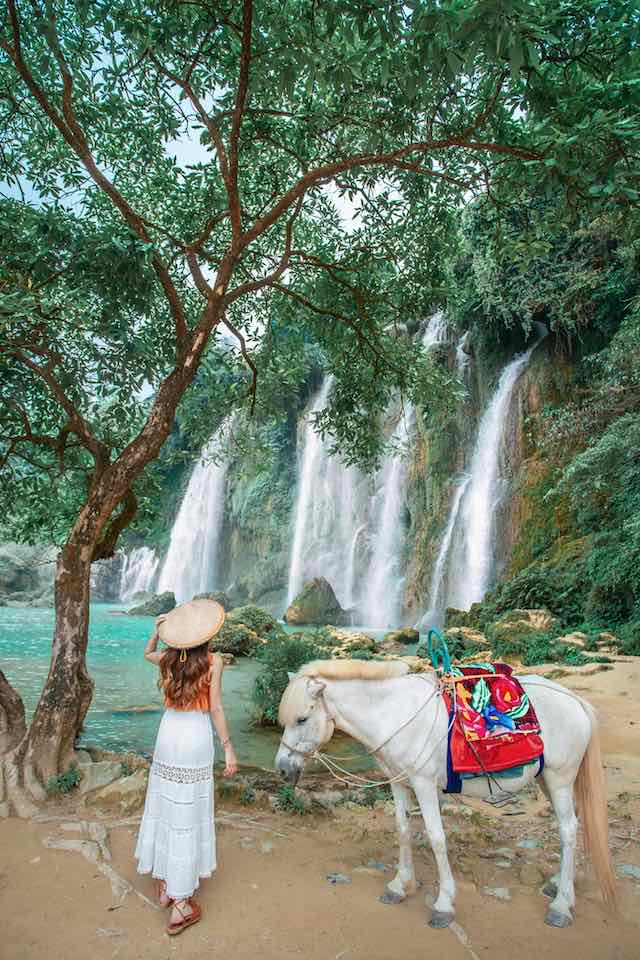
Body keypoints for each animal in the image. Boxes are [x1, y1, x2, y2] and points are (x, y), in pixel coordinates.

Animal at [276, 664, 616, 928]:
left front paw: (443, 904)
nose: (281, 769)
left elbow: (436, 837)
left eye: (302, 719)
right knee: (569, 827)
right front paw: (400, 886)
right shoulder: (399, 783)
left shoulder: (424, 784)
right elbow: (402, 830)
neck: (393, 712)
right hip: (547, 779)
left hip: (560, 779)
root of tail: (575, 700)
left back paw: (561, 905)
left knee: (568, 830)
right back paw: (560, 885)